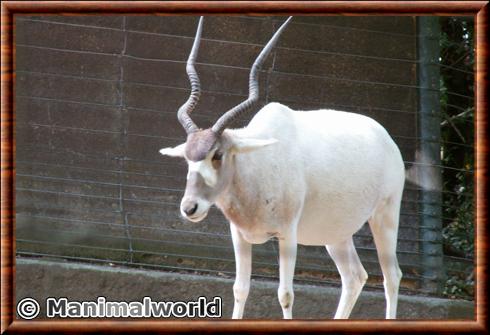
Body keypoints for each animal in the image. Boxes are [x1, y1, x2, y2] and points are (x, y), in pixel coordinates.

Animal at [161, 17, 406, 320]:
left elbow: (285, 295)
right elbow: (240, 289)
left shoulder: (287, 235)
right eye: (187, 157)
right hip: (335, 233)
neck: (257, 166)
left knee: (391, 276)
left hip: (385, 216)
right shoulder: (239, 236)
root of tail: (384, 136)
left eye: (217, 154)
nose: (190, 207)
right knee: (354, 277)